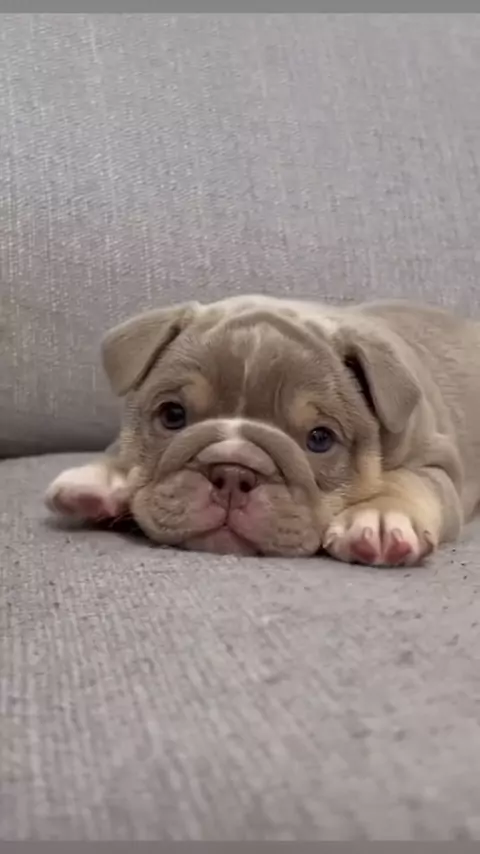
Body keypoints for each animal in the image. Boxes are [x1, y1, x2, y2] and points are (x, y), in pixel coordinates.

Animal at [45, 294, 480, 566]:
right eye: (172, 415)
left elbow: (408, 480)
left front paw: (379, 515)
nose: (232, 472)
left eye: (319, 439)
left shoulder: (436, 464)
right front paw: (103, 478)